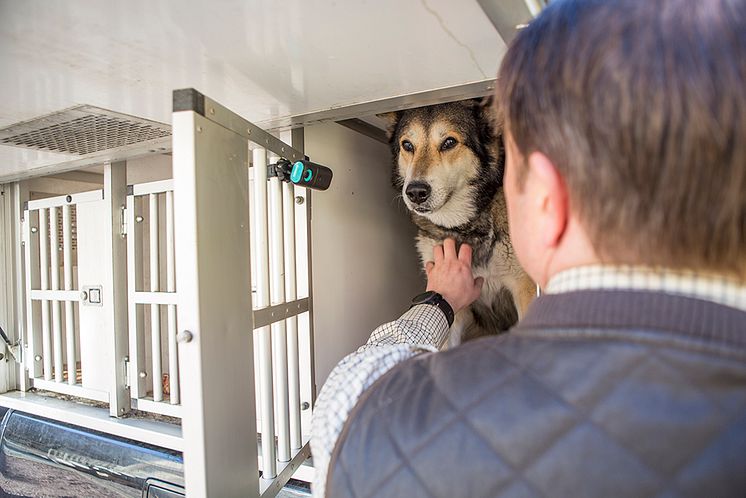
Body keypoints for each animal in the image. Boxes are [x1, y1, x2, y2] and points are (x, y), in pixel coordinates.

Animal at [384, 99, 536, 344]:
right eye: (407, 145)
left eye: (449, 142)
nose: (415, 192)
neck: (465, 227)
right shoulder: (456, 306)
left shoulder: (524, 287)